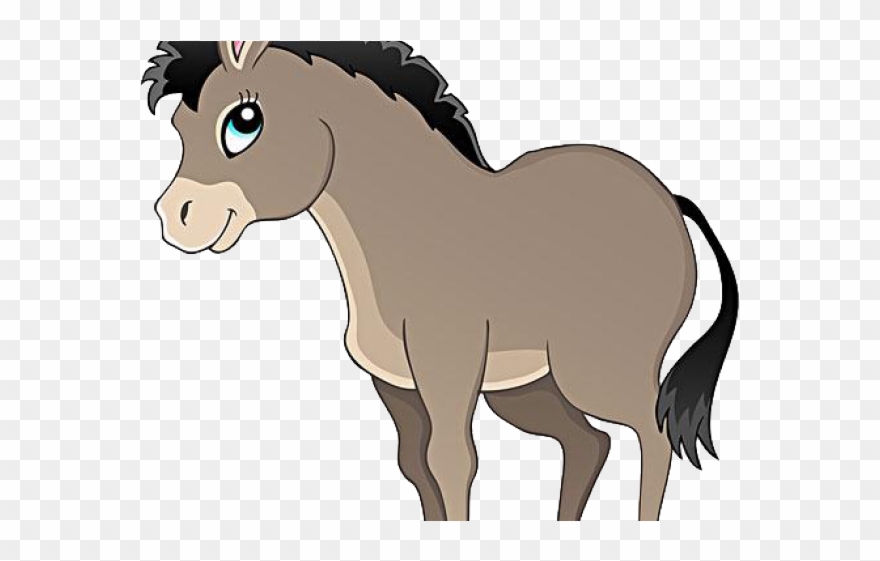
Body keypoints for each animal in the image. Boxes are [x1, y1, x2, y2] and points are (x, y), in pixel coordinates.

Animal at [142, 40, 739, 521]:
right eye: (179, 129)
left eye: (244, 120)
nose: (177, 218)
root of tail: (671, 202)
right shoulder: (396, 382)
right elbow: (415, 464)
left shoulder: (447, 368)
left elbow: (452, 460)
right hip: (528, 386)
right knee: (588, 443)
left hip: (596, 370)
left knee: (651, 436)